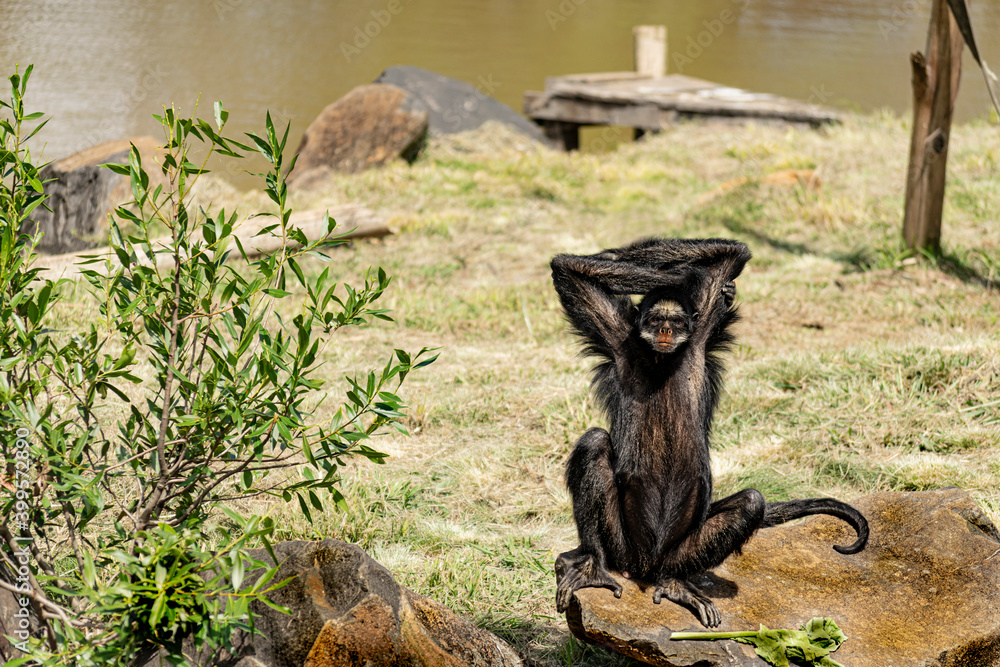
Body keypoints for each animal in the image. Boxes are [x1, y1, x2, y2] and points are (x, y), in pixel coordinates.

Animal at [552, 241, 872, 632]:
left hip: (675, 553)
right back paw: (593, 565)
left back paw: (675, 584)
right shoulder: (616, 334)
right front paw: (680, 277)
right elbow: (568, 268)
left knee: (750, 503)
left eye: (675, 323)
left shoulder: (700, 330)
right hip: (621, 547)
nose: (665, 332)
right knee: (595, 442)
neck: (661, 360)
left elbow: (732, 255)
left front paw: (699, 281)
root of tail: (645, 566)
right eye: (655, 321)